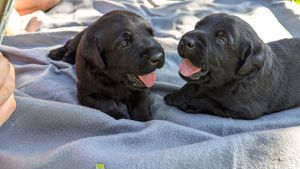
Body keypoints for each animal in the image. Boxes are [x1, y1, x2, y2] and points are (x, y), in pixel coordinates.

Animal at [165, 12, 300, 119]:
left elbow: (210, 103)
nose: (186, 40)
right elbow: (191, 86)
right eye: (197, 26)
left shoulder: (242, 110)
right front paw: (175, 96)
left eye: (222, 40)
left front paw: (190, 104)